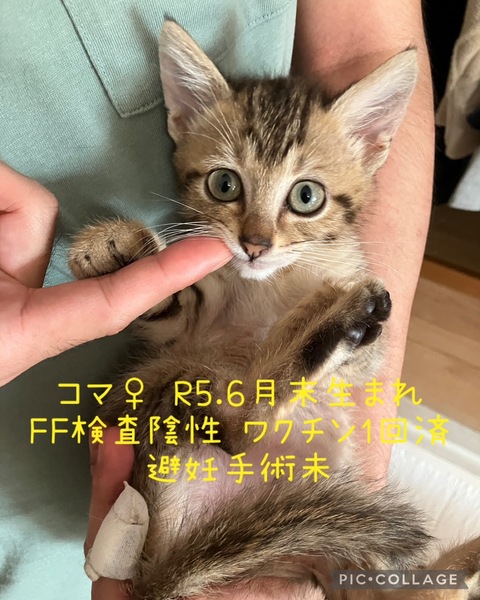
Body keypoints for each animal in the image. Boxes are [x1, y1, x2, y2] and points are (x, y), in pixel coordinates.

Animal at [69, 21, 480, 600]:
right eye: (224, 184)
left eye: (307, 196)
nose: (255, 245)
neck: (269, 286)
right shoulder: (185, 327)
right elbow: (169, 303)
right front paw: (117, 248)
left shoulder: (365, 356)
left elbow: (364, 353)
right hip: (171, 396)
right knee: (239, 426)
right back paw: (338, 321)